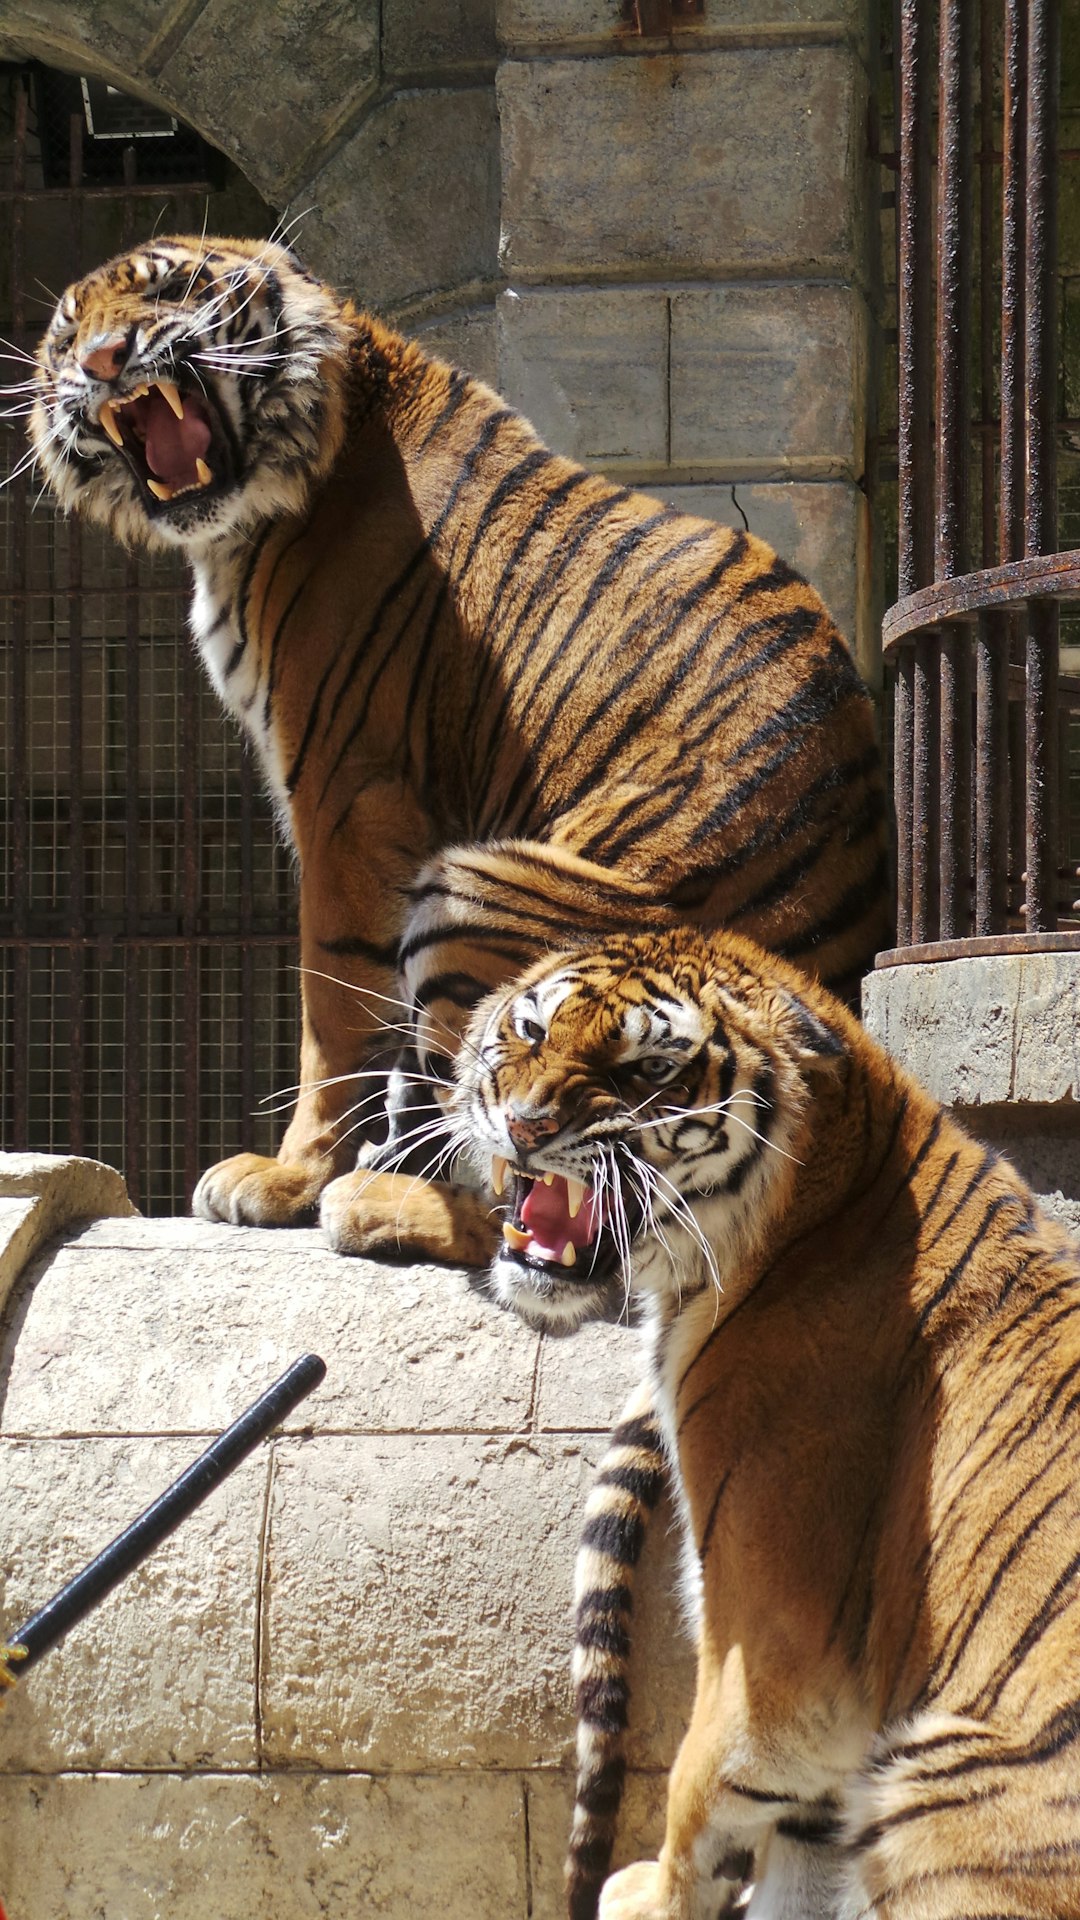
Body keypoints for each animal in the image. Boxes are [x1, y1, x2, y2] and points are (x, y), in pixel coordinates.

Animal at [449, 925, 1076, 1920]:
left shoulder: (774, 1629)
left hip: (938, 1774)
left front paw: (649, 1896)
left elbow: (704, 1783)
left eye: (646, 1070)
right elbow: (801, 1856)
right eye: (532, 1029)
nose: (524, 1126)